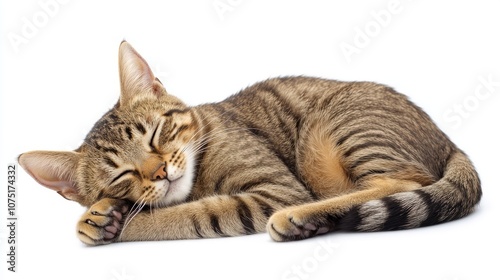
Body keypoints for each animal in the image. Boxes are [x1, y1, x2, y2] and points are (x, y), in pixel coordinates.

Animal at [18, 41, 480, 245]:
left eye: (156, 133)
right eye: (121, 175)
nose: (161, 171)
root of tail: (449, 141)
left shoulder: (273, 190)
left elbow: (188, 214)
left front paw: (111, 222)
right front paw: (103, 213)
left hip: (336, 128)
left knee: (400, 184)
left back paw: (301, 216)